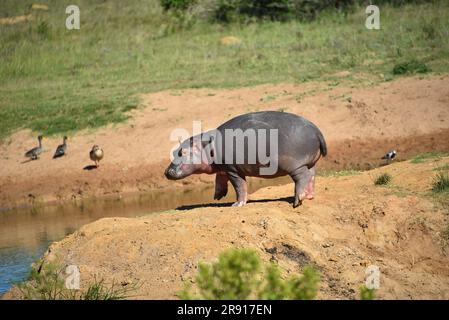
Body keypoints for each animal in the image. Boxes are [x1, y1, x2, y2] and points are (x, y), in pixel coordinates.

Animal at [164, 112, 326, 208]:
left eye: (183, 152)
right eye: (175, 151)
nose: (166, 171)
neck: (207, 146)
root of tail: (316, 130)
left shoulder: (232, 170)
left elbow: (239, 186)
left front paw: (237, 204)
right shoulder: (223, 167)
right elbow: (220, 178)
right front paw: (218, 195)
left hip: (295, 166)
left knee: (302, 177)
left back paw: (298, 200)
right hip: (311, 163)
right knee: (311, 176)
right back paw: (309, 196)